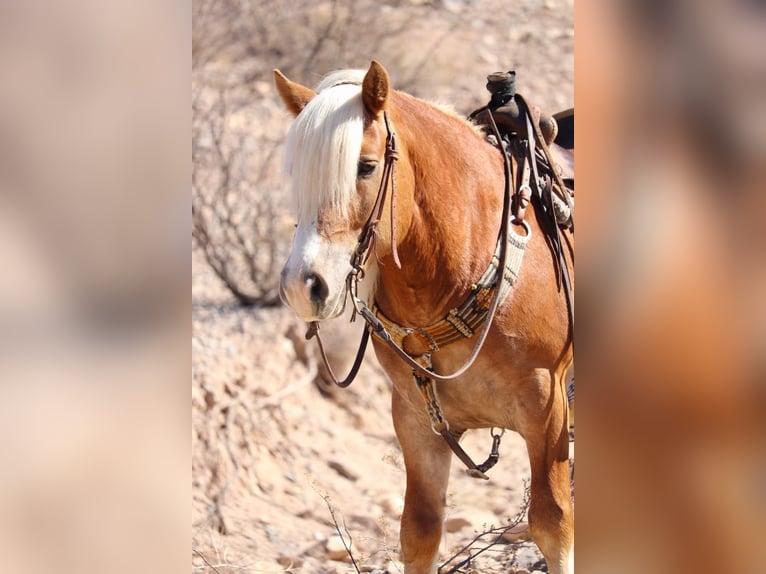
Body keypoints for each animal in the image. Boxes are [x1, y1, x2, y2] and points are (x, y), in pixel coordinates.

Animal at [272, 60, 572, 572]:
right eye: (298, 176)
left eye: (366, 166)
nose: (302, 285)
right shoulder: (416, 421)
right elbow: (420, 531)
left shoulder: (546, 409)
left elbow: (553, 524)